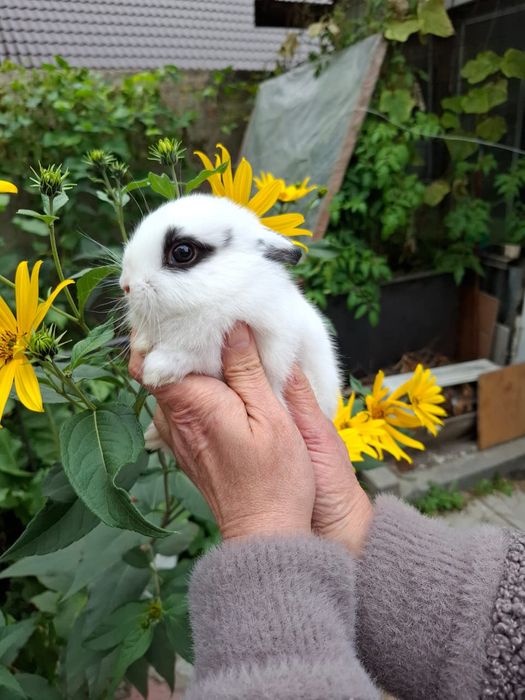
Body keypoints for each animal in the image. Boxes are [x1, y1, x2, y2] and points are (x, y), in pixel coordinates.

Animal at [120, 193, 340, 450]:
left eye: (183, 252)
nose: (126, 285)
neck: (227, 287)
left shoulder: (224, 350)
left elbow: (192, 356)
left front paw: (156, 370)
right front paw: (142, 344)